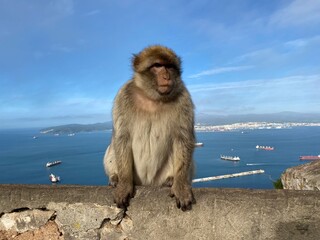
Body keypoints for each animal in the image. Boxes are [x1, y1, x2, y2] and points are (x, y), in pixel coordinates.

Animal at [104, 44, 196, 210]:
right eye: (158, 66)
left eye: (170, 67)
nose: (167, 76)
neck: (152, 97)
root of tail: (147, 183)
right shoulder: (123, 95)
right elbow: (121, 138)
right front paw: (124, 184)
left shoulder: (184, 98)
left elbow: (183, 139)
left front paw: (180, 186)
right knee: (113, 145)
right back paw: (115, 177)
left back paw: (171, 179)